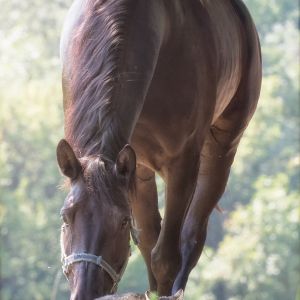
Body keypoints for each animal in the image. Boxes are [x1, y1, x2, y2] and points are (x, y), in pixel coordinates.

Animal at [56, 0, 260, 300]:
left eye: (123, 222)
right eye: (66, 216)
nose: (86, 291)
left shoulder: (182, 166)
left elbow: (165, 258)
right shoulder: (135, 168)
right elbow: (149, 242)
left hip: (222, 148)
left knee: (191, 236)